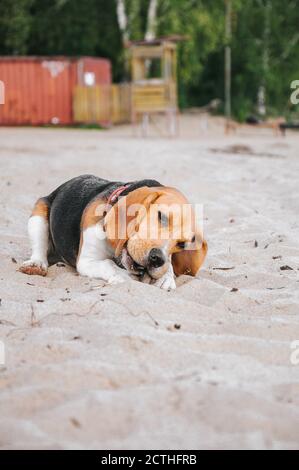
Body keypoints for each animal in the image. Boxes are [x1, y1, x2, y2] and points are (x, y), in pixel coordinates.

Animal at [18, 174, 206, 288]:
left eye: (182, 244)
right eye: (162, 216)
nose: (157, 259)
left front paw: (166, 277)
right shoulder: (87, 260)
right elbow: (108, 264)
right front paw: (123, 276)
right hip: (38, 217)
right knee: (40, 248)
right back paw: (35, 264)